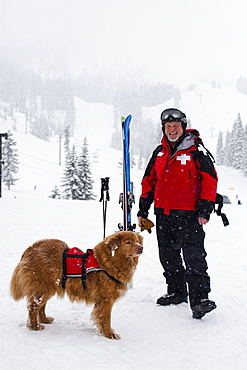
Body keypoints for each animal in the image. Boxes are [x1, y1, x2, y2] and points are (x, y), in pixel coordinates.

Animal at [9, 233, 144, 340]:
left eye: (137, 241)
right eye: (128, 242)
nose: (141, 247)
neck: (111, 262)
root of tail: (31, 248)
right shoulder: (106, 299)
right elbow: (105, 318)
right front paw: (109, 334)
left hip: (49, 287)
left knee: (41, 306)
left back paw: (45, 320)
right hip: (43, 287)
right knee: (33, 307)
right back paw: (34, 327)